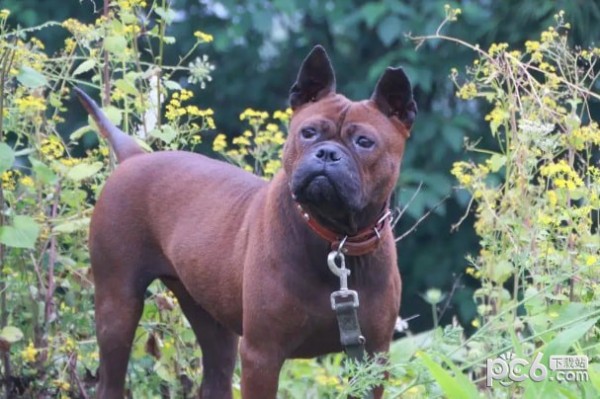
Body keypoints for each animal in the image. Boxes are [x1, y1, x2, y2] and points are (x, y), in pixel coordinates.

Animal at [75, 45, 418, 398]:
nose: (326, 153)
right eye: (308, 133)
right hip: (117, 306)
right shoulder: (262, 355)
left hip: (211, 321)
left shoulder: (372, 358)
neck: (337, 238)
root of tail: (135, 157)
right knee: (111, 375)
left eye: (364, 142)